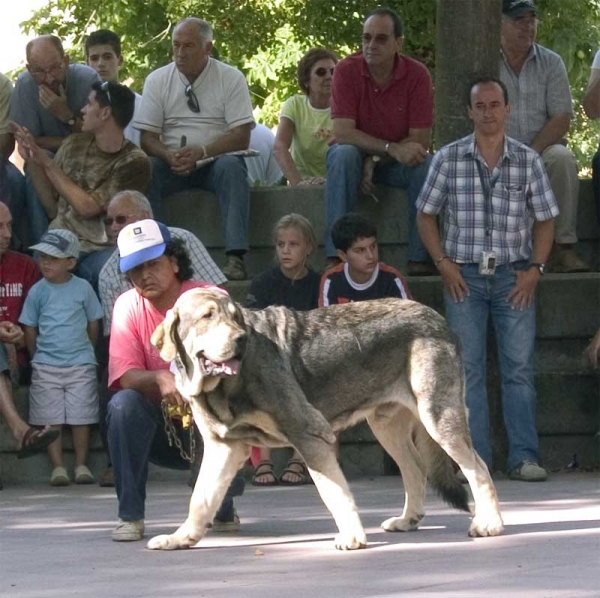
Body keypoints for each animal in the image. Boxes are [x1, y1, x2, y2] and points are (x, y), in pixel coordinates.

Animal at [148, 288, 504, 552]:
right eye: (208, 316)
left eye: (236, 318)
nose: (240, 340)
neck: (221, 387)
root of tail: (438, 318)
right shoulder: (225, 448)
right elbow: (200, 499)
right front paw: (181, 538)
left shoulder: (309, 434)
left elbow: (333, 492)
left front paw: (352, 537)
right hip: (386, 426)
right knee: (416, 469)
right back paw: (408, 520)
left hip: (438, 417)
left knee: (477, 467)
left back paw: (489, 523)